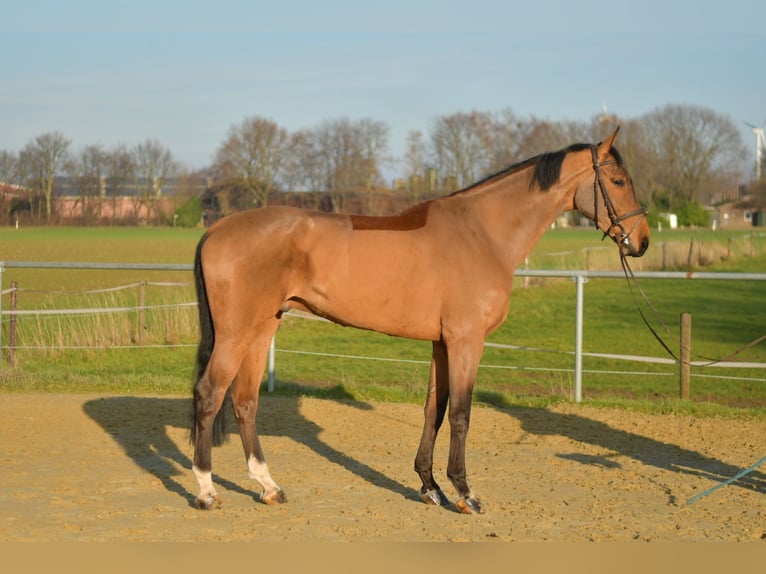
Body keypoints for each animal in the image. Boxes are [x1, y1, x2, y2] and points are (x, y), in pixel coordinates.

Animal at [190, 127, 649, 514]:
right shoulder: (466, 340)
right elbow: (462, 413)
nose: (642, 241)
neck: (481, 233)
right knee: (209, 395)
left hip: (261, 329)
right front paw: (465, 493)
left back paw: (268, 486)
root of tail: (215, 231)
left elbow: (435, 409)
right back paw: (207, 491)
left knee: (245, 401)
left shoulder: (442, 343)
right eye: (618, 182)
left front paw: (431, 487)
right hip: (236, 334)